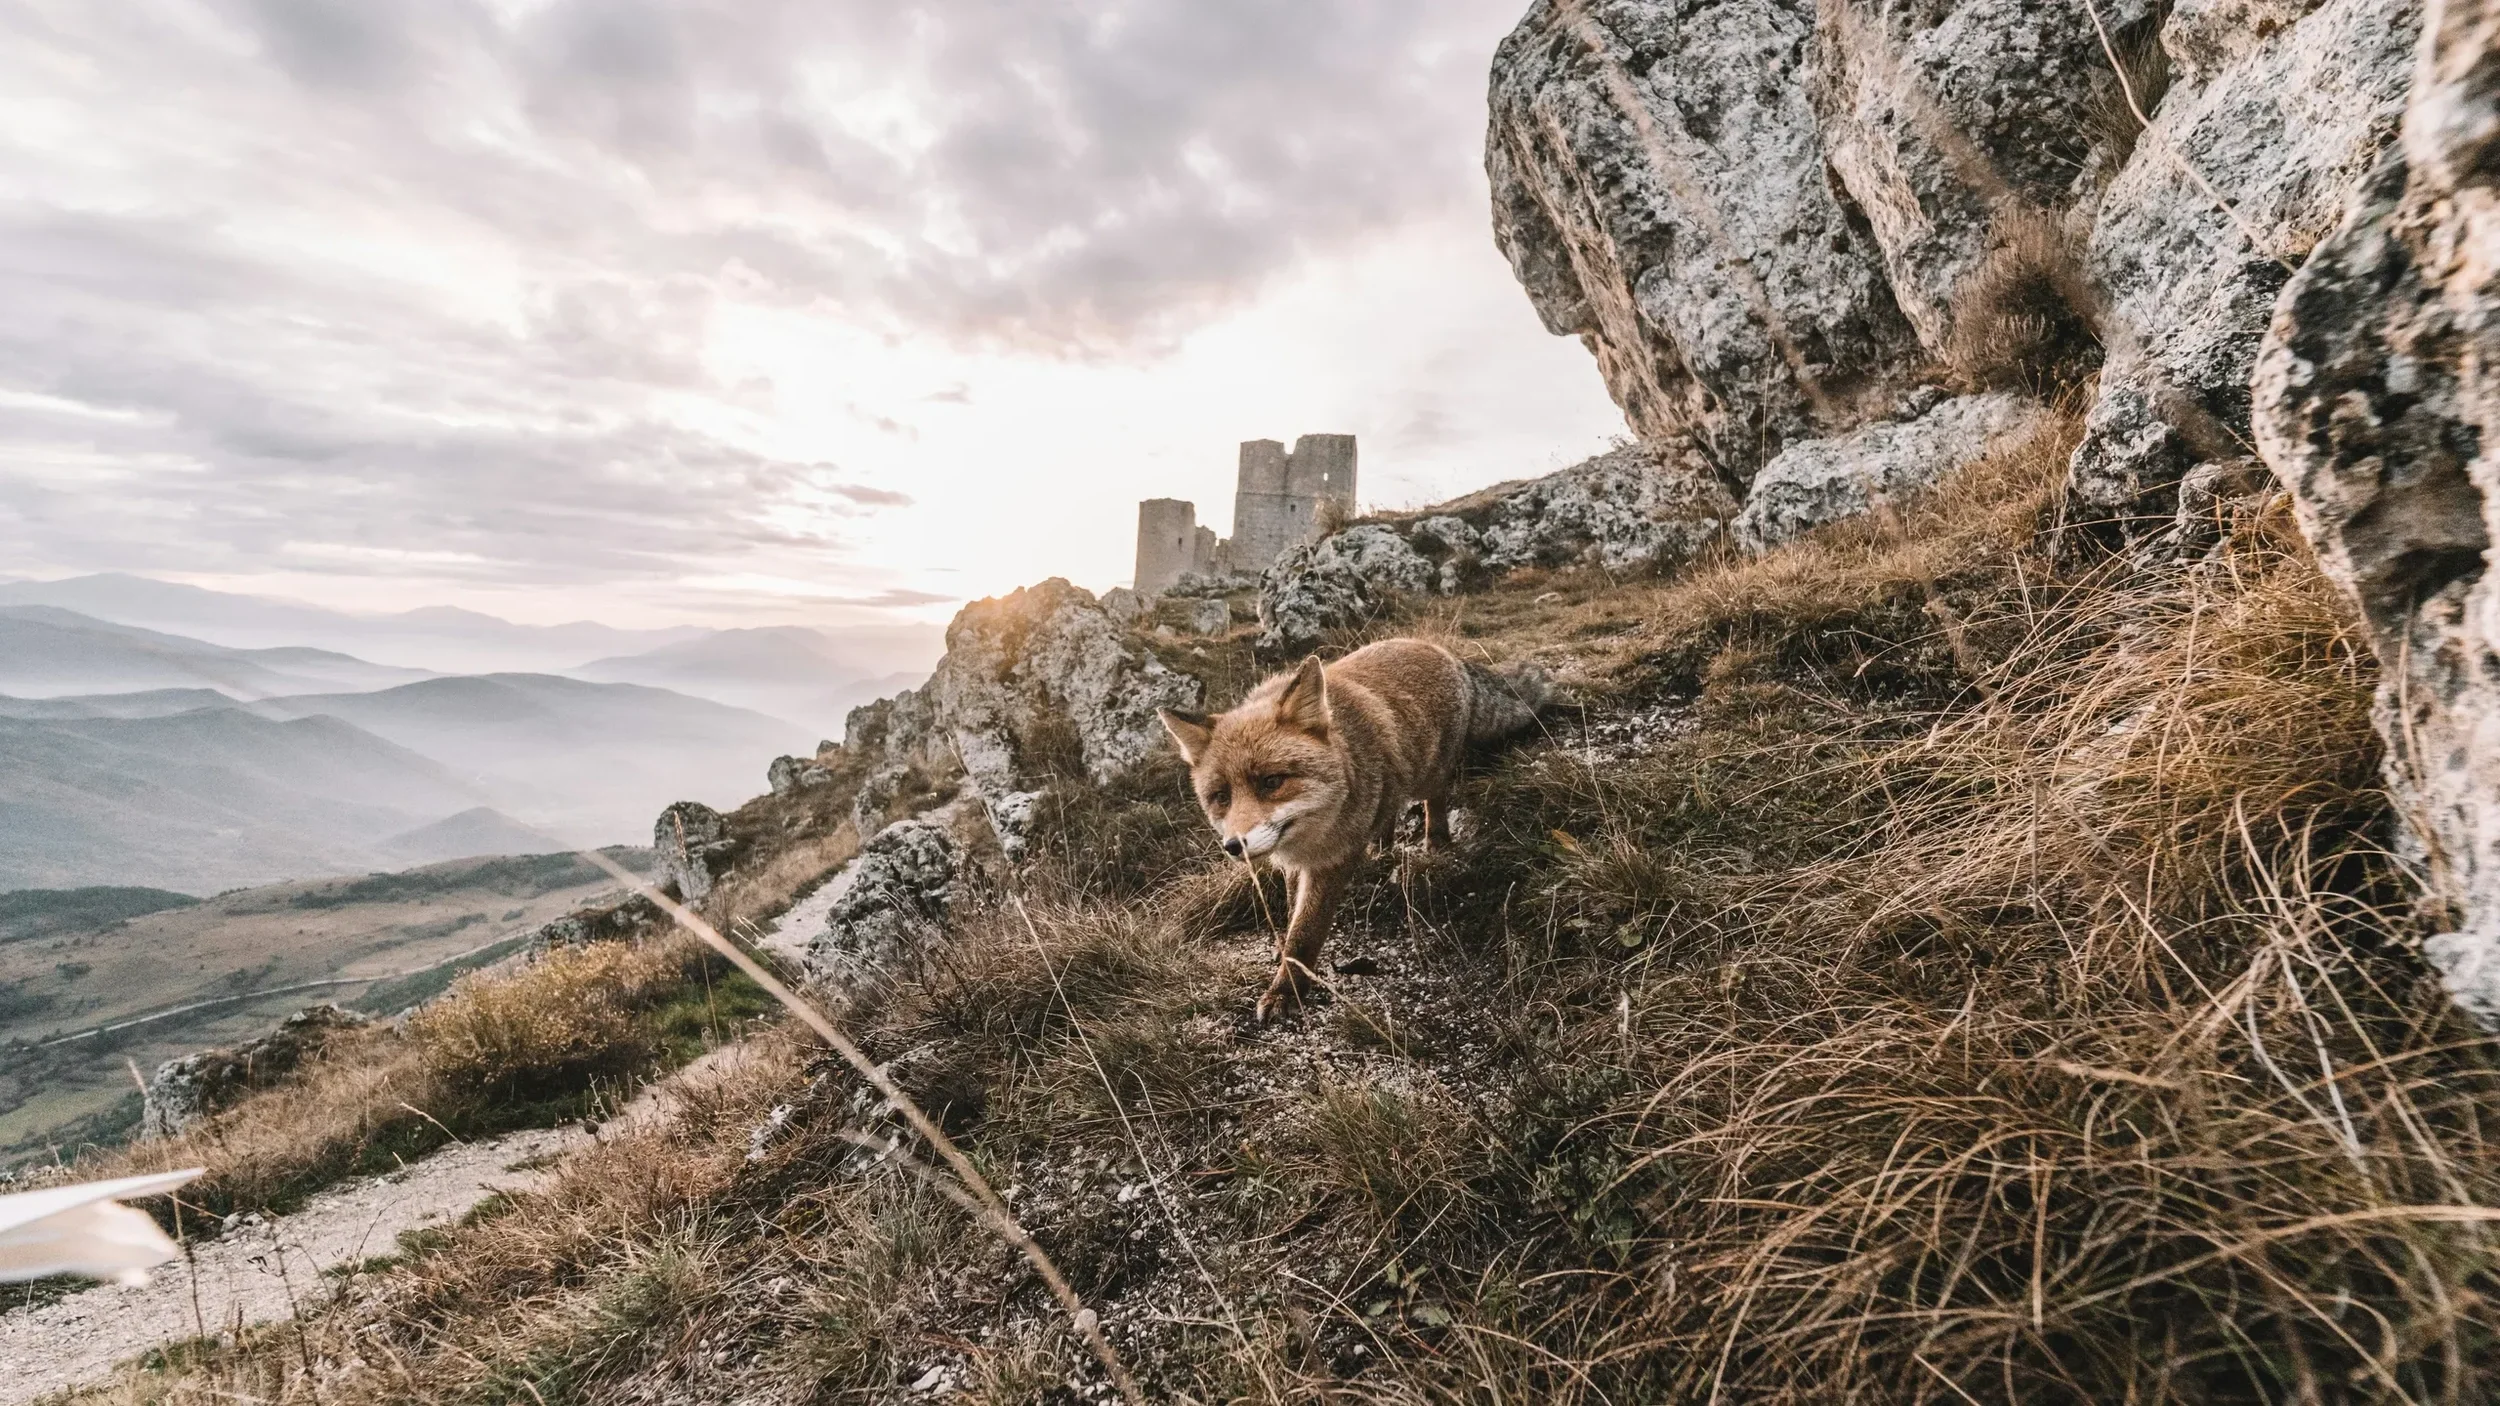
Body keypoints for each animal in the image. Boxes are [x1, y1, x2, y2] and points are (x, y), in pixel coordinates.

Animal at [1159, 637, 1547, 1020]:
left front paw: (1287, 989)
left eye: (1272, 782)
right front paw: (1284, 949)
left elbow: (1307, 933)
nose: (1234, 845)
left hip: (1430, 775)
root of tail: (1436, 647)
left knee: (1434, 798)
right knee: (1389, 808)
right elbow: (1292, 911)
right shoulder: (1296, 862)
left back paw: (1436, 840)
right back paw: (1381, 844)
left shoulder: (1333, 861)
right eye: (1221, 797)